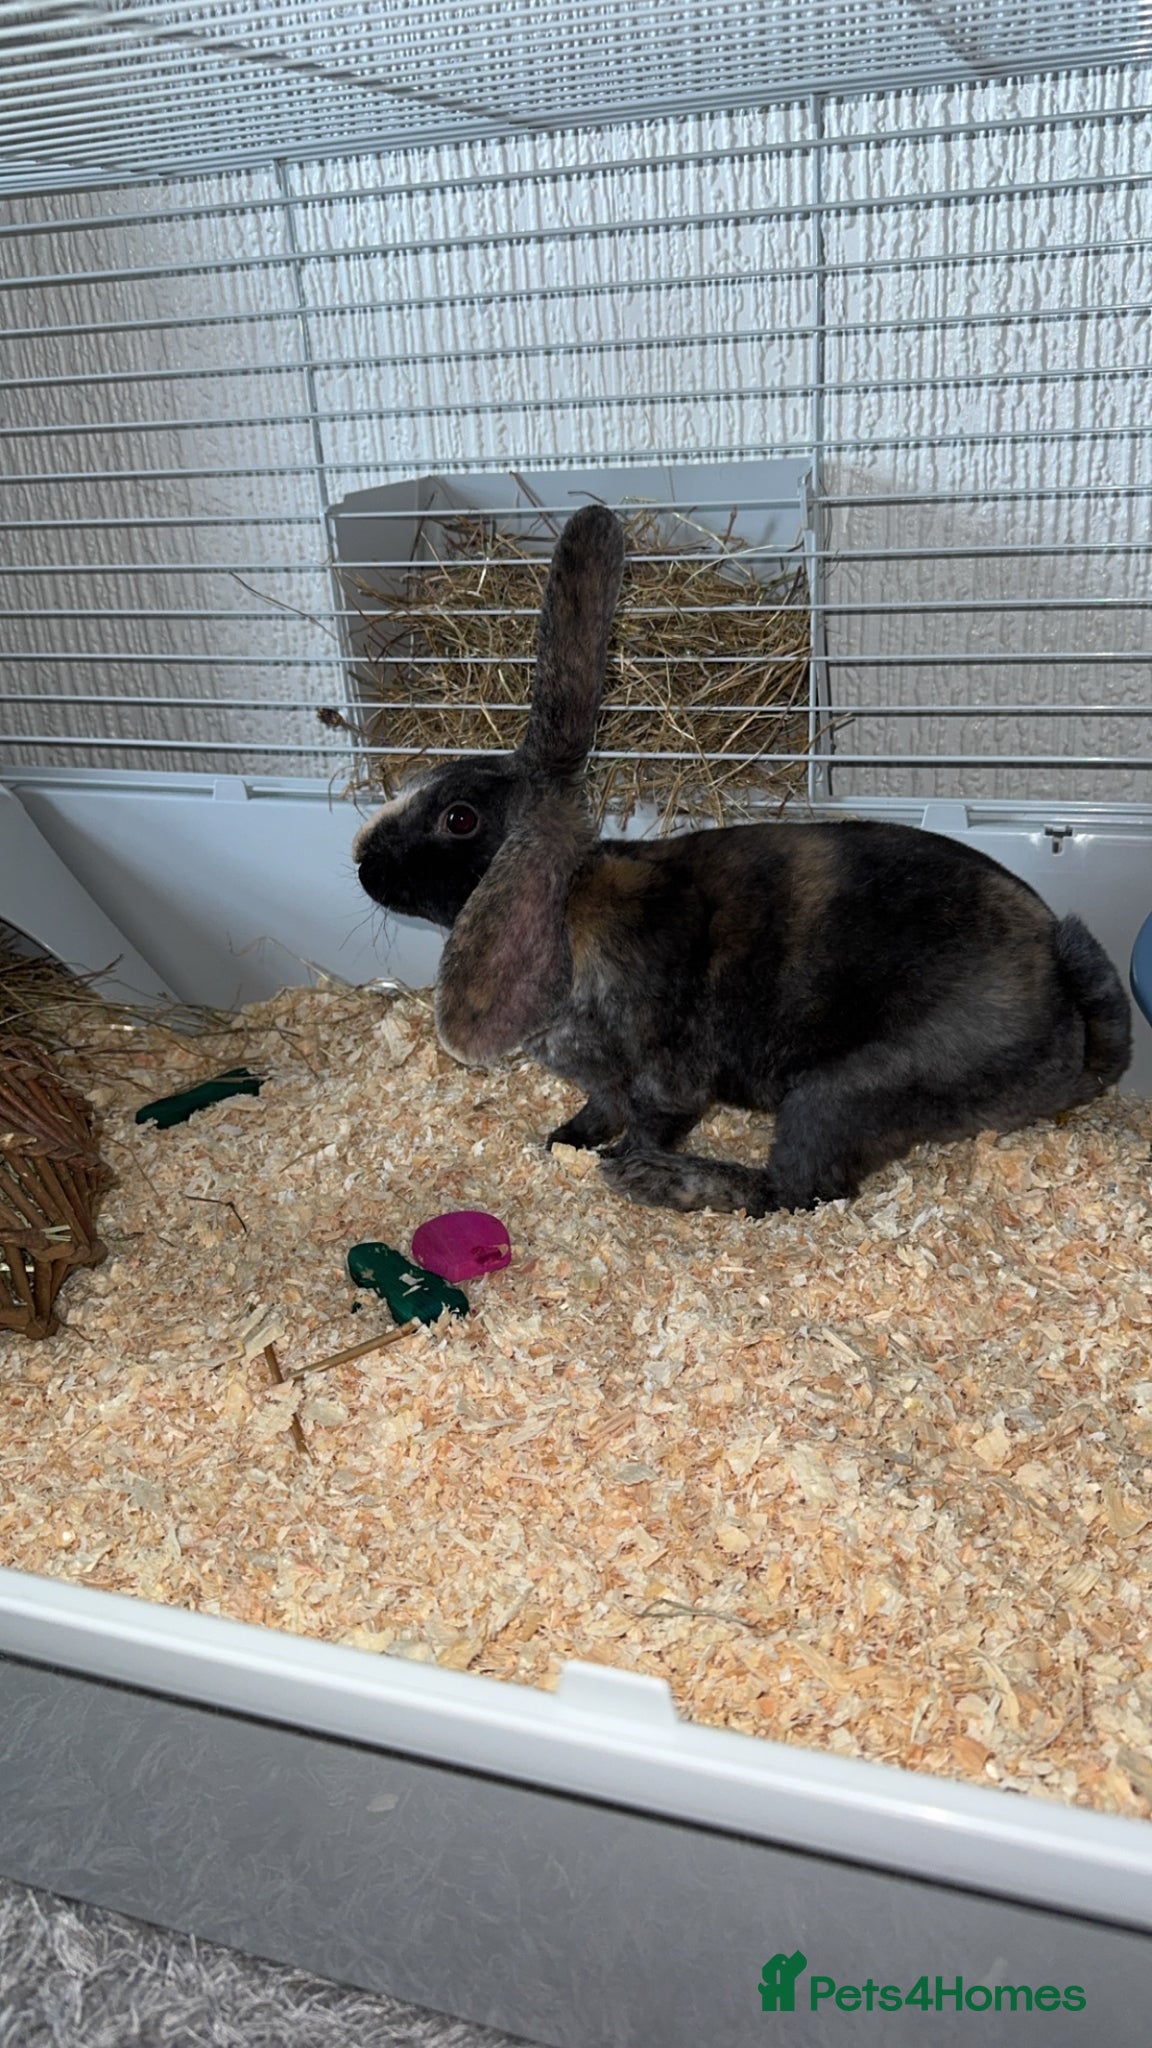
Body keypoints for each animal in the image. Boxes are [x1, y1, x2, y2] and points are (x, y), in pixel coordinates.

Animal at [354, 502, 1133, 1215]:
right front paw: (562, 1142)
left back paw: (662, 1182)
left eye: (459, 819)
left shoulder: (667, 1077)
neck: (569, 906)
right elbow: (599, 1109)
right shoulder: (605, 1084)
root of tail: (1071, 1048)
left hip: (841, 1093)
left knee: (797, 1191)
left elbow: (652, 1118)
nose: (361, 859)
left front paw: (622, 1159)